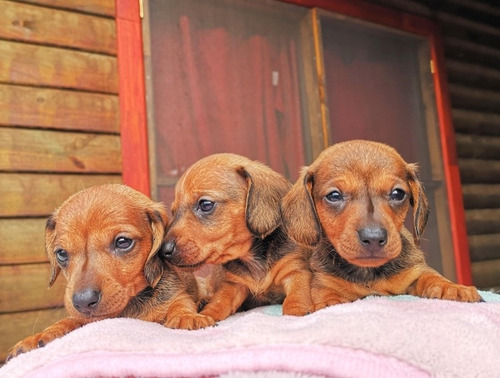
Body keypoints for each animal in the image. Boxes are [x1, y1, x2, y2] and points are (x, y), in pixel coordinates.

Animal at [8, 185, 211, 362]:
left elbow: (181, 304)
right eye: (61, 254)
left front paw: (186, 317)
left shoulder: (176, 296)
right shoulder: (84, 318)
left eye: (123, 242)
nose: (83, 302)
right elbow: (67, 321)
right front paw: (39, 336)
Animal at [161, 153, 312, 322]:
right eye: (174, 212)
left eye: (205, 204)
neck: (251, 257)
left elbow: (295, 298)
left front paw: (295, 313)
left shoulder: (295, 271)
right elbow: (218, 303)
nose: (163, 251)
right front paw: (205, 315)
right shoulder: (233, 285)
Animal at [282, 139, 480, 310]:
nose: (373, 238)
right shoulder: (323, 281)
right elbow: (325, 293)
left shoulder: (415, 272)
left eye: (398, 193)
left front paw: (452, 288)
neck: (368, 272)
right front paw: (331, 302)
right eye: (334, 196)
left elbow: (431, 276)